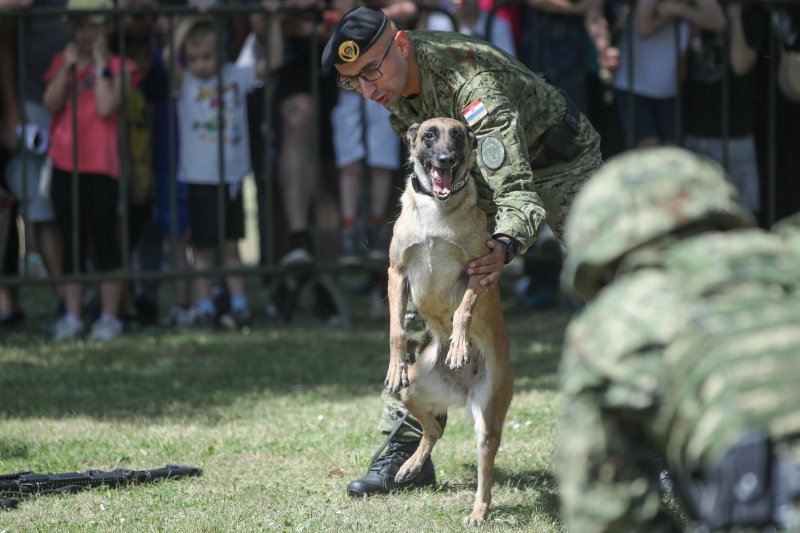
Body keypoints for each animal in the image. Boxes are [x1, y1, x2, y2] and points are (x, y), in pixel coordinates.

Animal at [386, 117, 512, 524]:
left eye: (457, 135)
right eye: (429, 135)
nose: (445, 159)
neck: (435, 214)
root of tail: (463, 391)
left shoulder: (478, 271)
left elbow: (462, 311)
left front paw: (458, 345)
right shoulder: (396, 273)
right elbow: (396, 330)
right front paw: (395, 364)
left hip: (487, 417)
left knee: (484, 471)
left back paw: (478, 511)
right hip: (414, 390)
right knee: (434, 429)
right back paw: (410, 466)